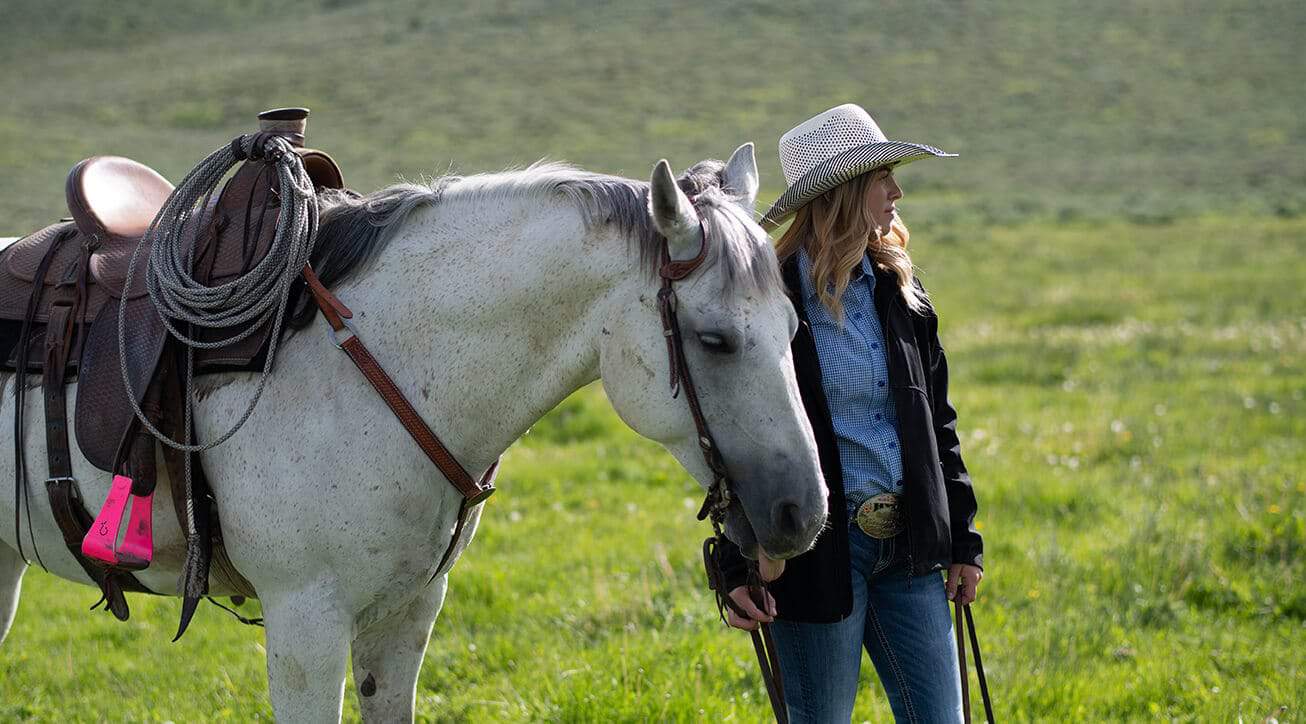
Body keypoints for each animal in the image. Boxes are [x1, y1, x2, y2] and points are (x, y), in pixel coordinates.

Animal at [0, 143, 825, 716]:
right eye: (714, 339)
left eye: (794, 325)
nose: (804, 513)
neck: (374, 357)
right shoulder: (305, 622)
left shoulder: (406, 614)